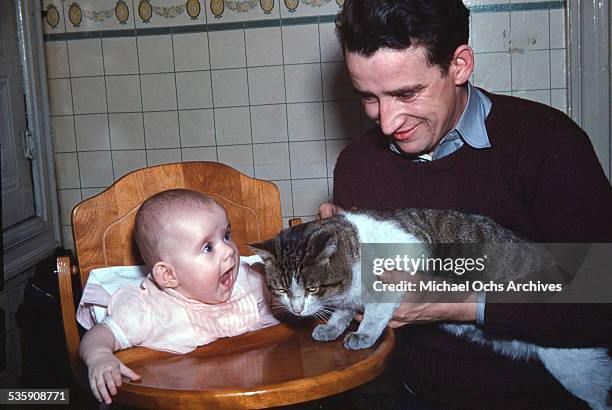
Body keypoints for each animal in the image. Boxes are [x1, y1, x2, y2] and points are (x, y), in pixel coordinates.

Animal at [250, 210, 612, 408]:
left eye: (312, 288)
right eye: (282, 290)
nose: (297, 309)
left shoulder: (395, 277)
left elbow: (374, 312)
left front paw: (362, 334)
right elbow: (342, 310)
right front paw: (332, 326)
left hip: (577, 367)